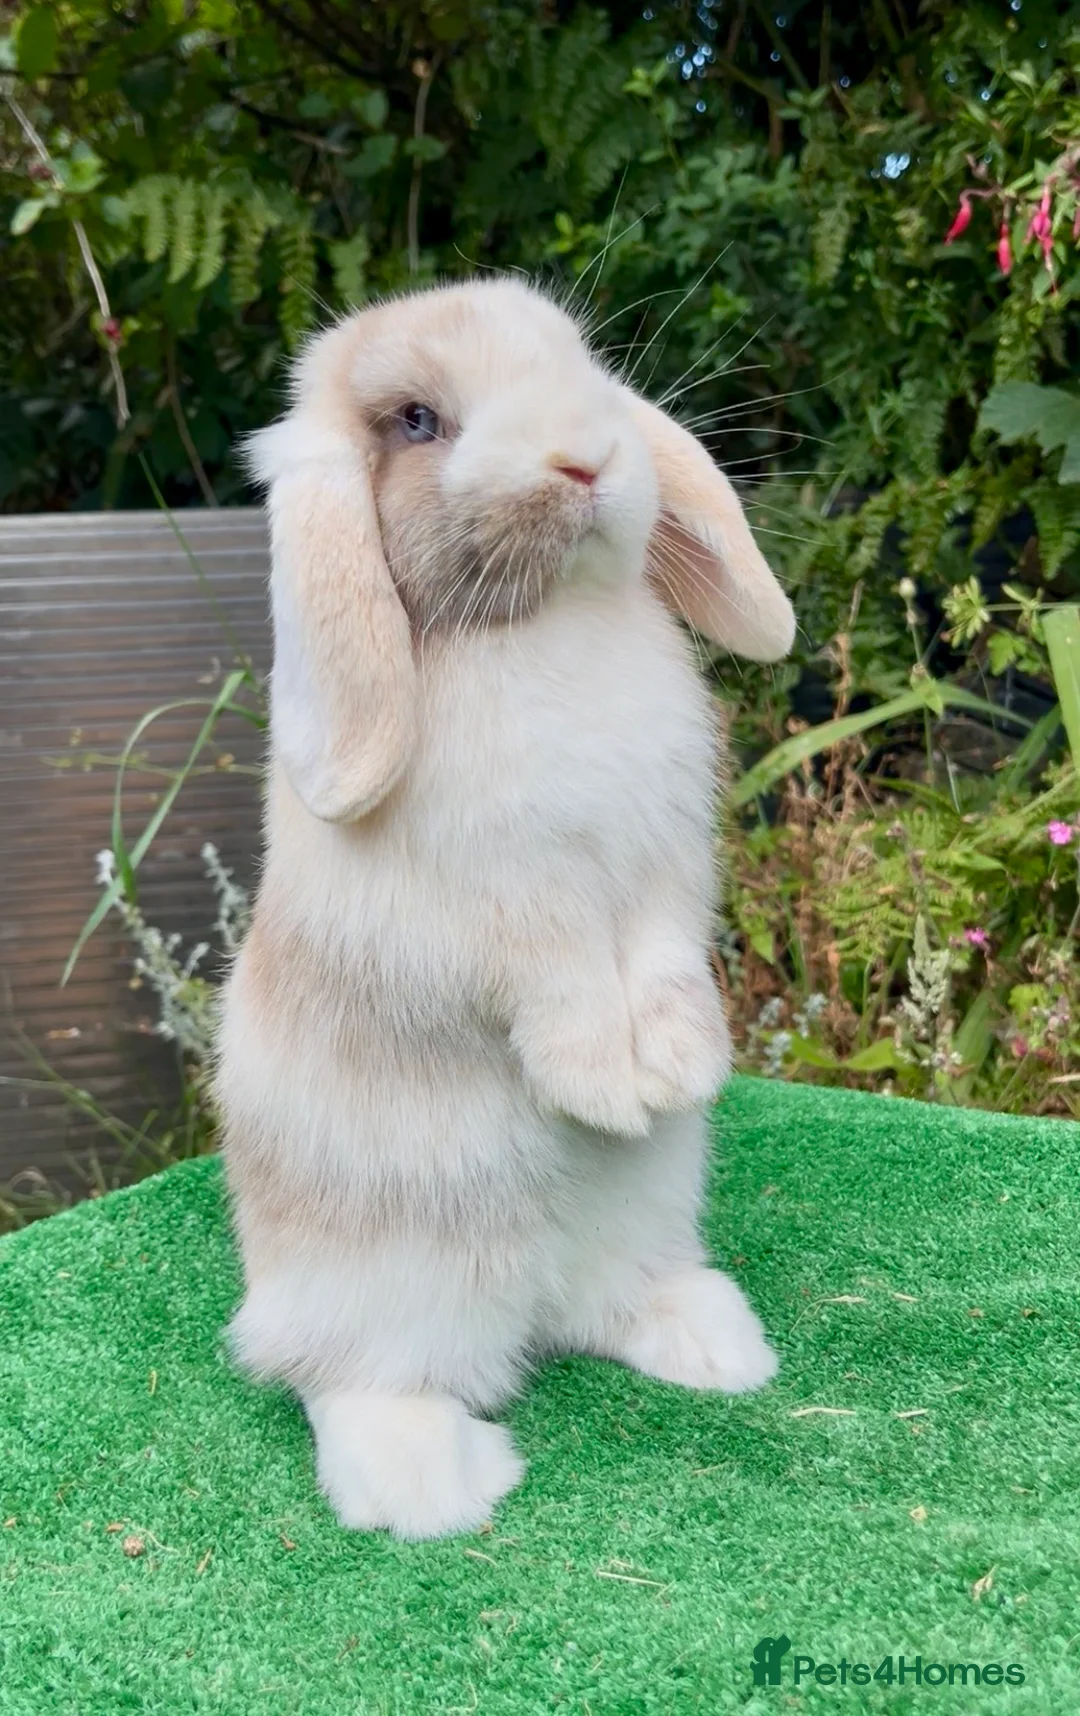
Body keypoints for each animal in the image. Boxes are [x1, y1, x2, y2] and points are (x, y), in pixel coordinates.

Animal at [216, 276, 795, 1541]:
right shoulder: (507, 908)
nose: (587, 455)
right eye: (418, 420)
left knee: (604, 1305)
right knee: (346, 1379)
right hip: (387, 1274)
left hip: (642, 1217)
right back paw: (432, 1486)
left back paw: (714, 1344)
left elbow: (662, 957)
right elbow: (562, 977)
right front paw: (603, 1087)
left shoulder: (667, 870)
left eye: (579, 362)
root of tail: (527, 1308)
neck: (547, 622)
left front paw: (681, 1066)